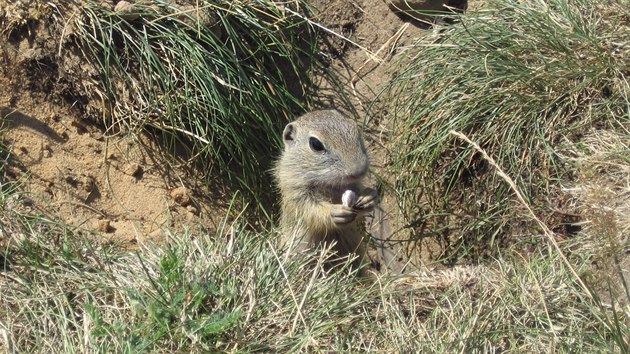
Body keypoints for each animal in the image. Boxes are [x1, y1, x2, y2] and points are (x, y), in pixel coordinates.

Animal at [274, 110, 378, 272]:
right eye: (315, 144)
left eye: (356, 131)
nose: (359, 170)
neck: (330, 184)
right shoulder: (296, 192)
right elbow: (310, 210)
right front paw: (334, 212)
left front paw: (369, 197)